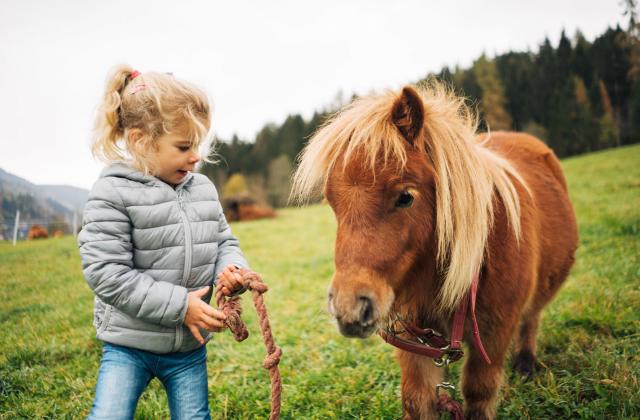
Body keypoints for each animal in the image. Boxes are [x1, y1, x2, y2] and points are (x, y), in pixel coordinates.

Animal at [292, 83, 580, 420]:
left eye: (405, 197)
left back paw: (525, 362)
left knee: (531, 318)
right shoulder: (415, 342)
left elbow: (479, 394)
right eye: (332, 201)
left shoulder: (494, 336)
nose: (350, 307)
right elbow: (418, 399)